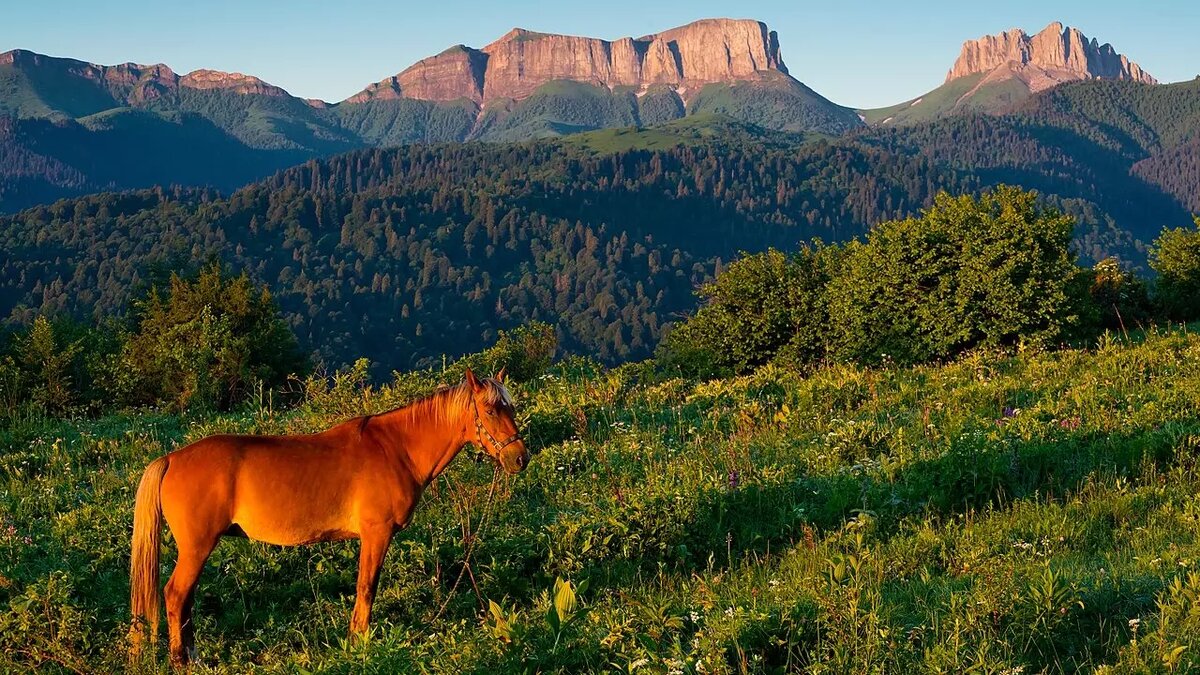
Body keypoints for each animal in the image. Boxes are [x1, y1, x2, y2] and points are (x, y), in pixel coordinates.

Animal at [129, 367, 528, 667]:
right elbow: (367, 587)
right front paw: (359, 642)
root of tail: (171, 459)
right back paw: (181, 659)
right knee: (175, 595)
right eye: (492, 410)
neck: (396, 448)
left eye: (510, 407)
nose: (520, 458)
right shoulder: (376, 534)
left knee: (185, 598)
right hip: (197, 547)